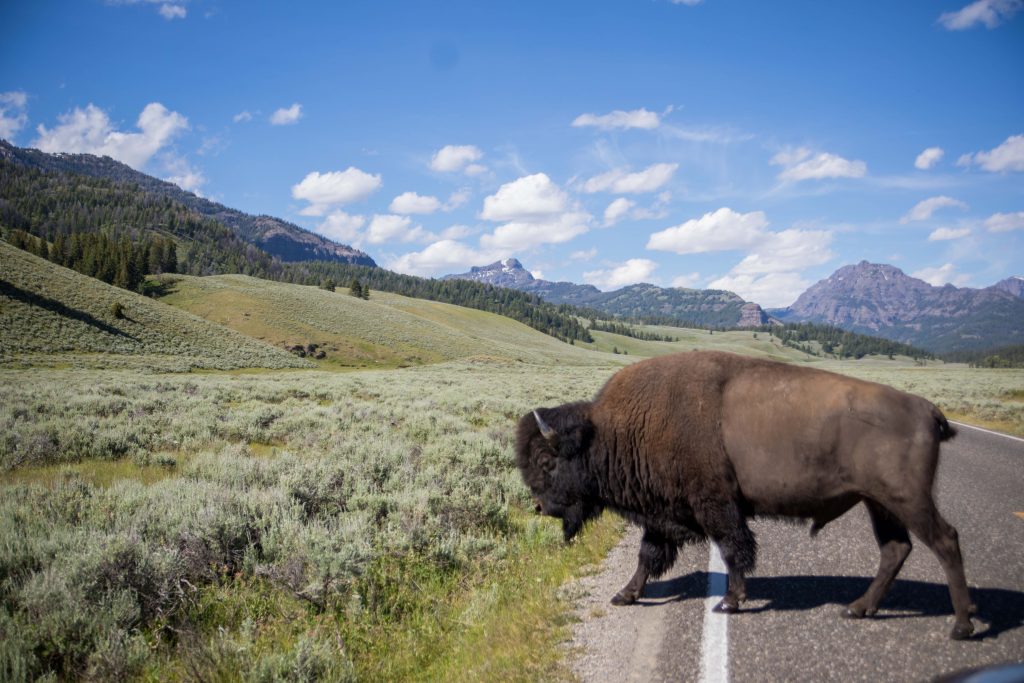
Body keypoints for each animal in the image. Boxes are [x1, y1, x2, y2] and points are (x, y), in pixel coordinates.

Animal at [516, 352, 970, 643]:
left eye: (546, 462)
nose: (540, 507)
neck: (609, 431)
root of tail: (927, 408)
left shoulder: (716, 506)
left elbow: (734, 549)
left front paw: (730, 602)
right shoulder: (662, 518)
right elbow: (647, 557)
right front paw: (625, 595)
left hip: (907, 499)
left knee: (945, 541)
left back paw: (961, 627)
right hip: (879, 503)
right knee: (895, 549)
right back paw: (858, 608)